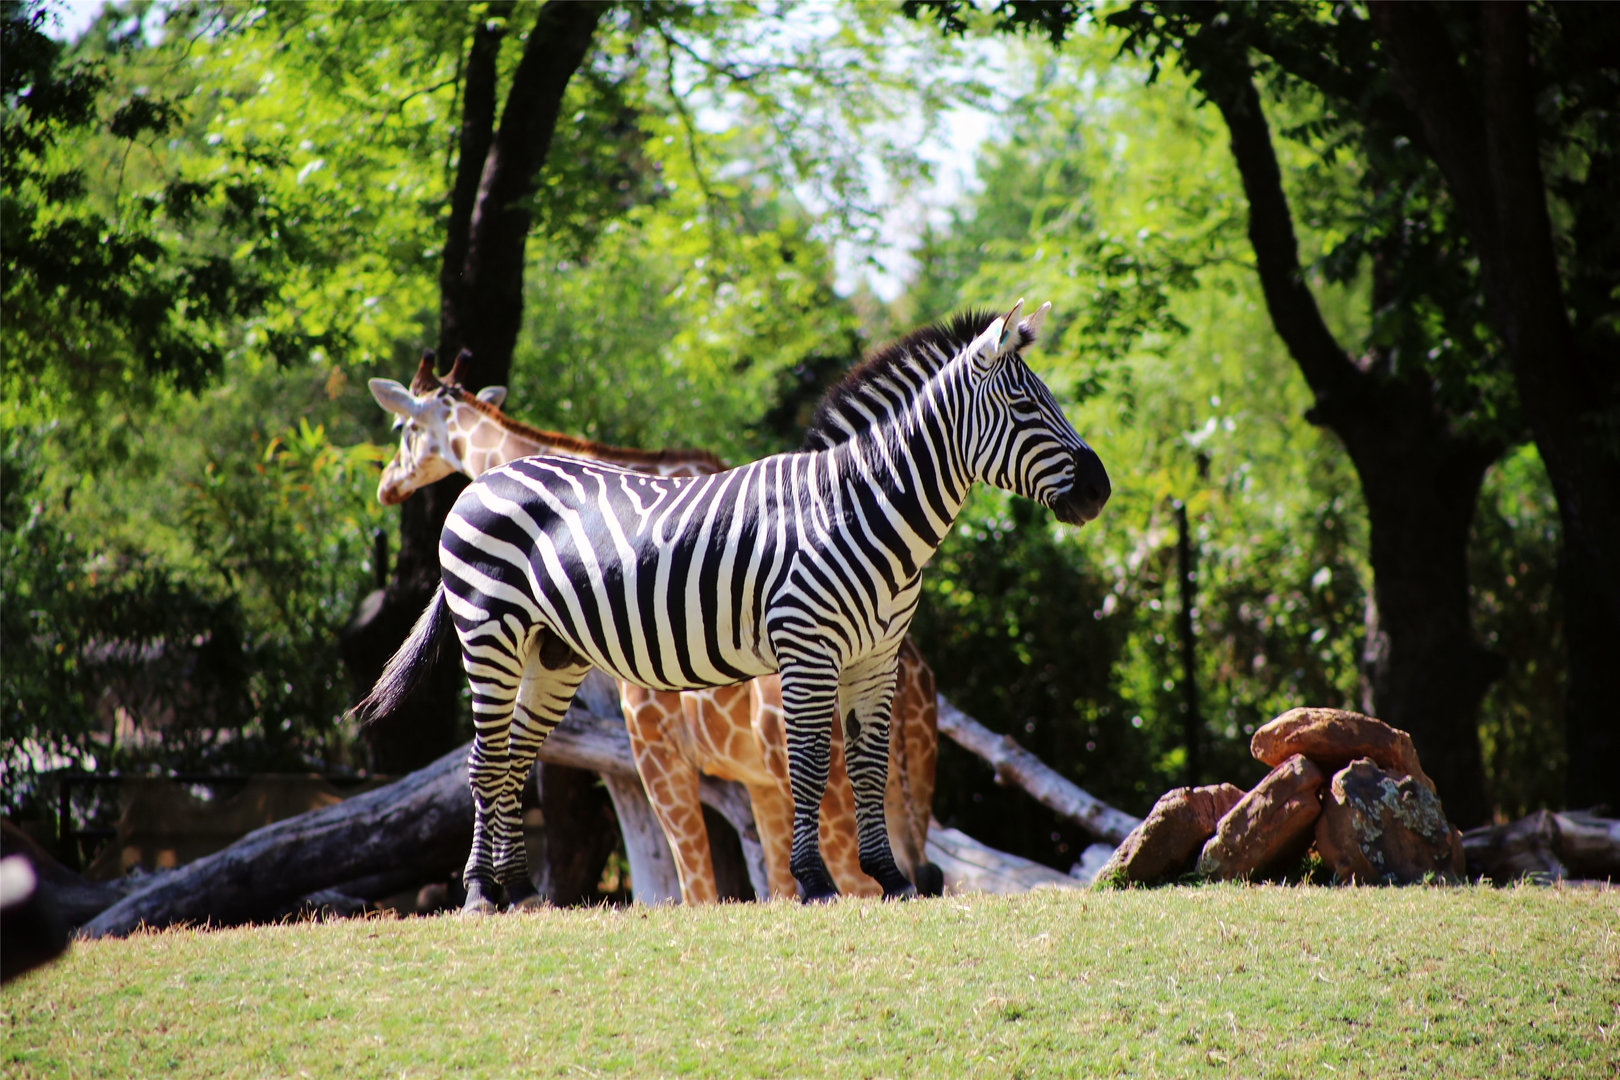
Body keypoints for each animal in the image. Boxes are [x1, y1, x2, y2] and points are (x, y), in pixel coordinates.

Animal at [356, 300, 1110, 910]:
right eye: (1025, 408)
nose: (1100, 489)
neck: (858, 509)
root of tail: (487, 484)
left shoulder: (874, 659)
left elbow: (860, 766)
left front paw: (889, 881)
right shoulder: (801, 656)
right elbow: (805, 768)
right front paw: (816, 885)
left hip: (552, 653)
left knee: (512, 758)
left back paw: (511, 890)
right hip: (489, 633)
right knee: (485, 761)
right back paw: (479, 894)